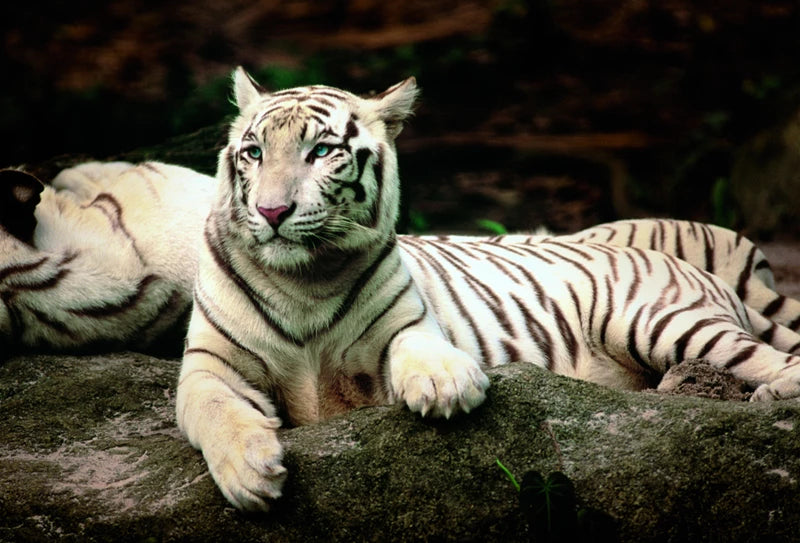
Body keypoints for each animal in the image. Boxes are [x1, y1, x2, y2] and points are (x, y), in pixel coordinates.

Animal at [175, 67, 800, 512]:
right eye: (254, 152)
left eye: (322, 152)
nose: (272, 211)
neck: (303, 280)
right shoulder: (209, 363)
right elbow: (213, 408)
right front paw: (250, 473)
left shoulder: (403, 328)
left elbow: (420, 349)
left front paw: (446, 384)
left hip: (655, 320)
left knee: (770, 359)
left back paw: (771, 395)